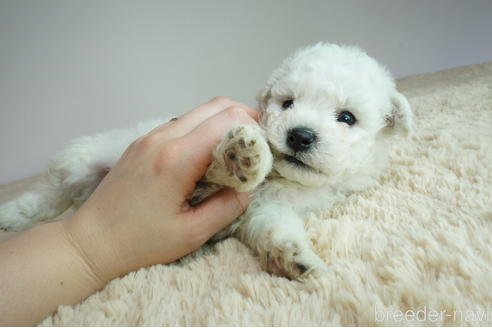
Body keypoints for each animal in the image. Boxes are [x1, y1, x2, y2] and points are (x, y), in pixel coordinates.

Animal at [0, 43, 414, 280]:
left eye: (347, 117)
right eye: (287, 103)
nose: (299, 135)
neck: (284, 182)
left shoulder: (269, 209)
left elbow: (276, 230)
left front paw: (297, 259)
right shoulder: (200, 182)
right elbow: (214, 172)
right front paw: (242, 155)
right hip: (82, 159)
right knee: (48, 195)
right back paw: (10, 216)